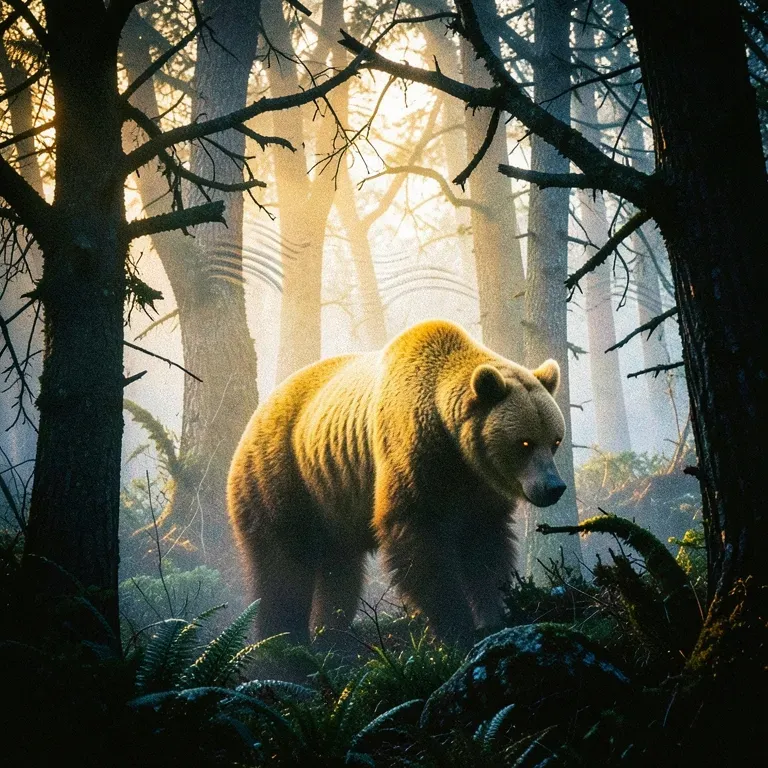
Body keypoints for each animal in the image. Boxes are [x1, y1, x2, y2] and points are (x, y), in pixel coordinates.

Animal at [227, 319, 566, 646]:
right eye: (525, 442)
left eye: (555, 441)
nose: (553, 487)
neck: (456, 451)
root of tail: (256, 415)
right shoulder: (412, 454)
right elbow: (417, 539)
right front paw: (456, 626)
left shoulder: (479, 489)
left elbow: (485, 546)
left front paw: (494, 614)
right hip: (283, 478)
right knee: (282, 568)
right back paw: (283, 642)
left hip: (332, 505)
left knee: (340, 573)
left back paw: (331, 637)